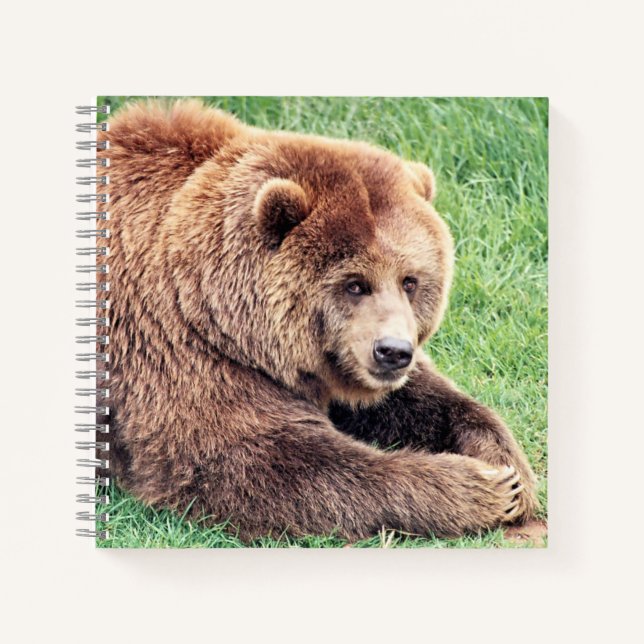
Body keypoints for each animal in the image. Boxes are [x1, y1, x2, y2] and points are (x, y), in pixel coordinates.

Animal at [95, 99, 538, 542]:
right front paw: (480, 487)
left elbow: (420, 399)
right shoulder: (173, 348)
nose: (393, 351)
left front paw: (507, 468)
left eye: (410, 281)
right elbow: (255, 460)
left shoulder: (335, 362)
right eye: (355, 284)